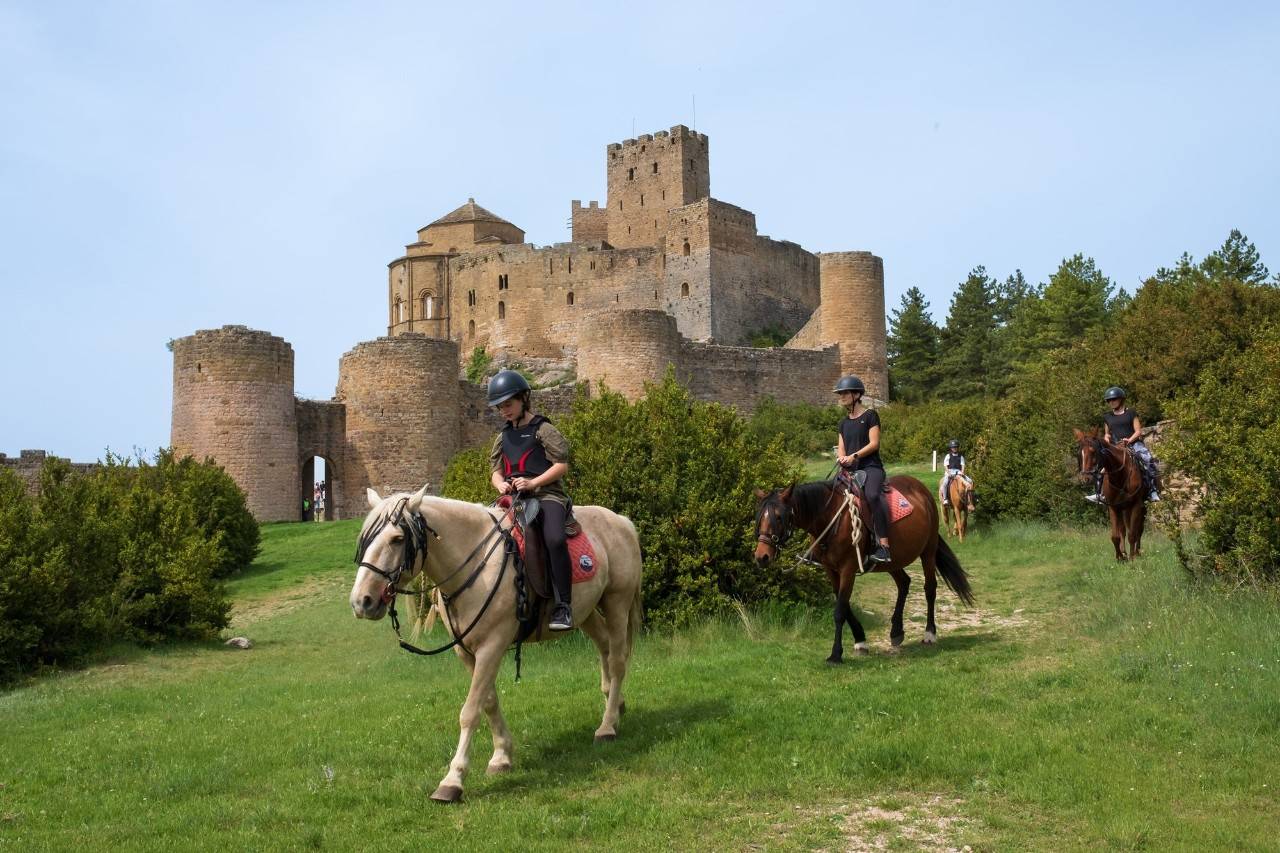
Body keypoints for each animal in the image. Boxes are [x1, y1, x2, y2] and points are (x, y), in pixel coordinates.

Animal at [348, 481, 640, 799]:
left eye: (397, 539)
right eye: (365, 538)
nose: (362, 602)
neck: (476, 563)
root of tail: (622, 521)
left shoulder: (492, 646)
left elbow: (470, 711)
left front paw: (452, 780)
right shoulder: (466, 652)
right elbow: (487, 702)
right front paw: (501, 756)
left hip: (617, 602)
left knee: (618, 660)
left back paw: (607, 726)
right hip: (586, 612)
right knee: (604, 647)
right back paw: (616, 704)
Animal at [747, 473, 967, 660]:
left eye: (779, 517)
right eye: (759, 517)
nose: (761, 557)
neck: (832, 517)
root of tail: (922, 491)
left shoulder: (848, 569)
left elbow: (839, 611)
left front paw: (836, 654)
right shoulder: (831, 570)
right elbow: (844, 605)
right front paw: (860, 640)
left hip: (928, 551)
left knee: (929, 589)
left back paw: (929, 633)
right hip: (893, 560)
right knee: (904, 583)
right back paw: (896, 631)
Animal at [1075, 425, 1146, 558]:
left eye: (1093, 451)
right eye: (1079, 453)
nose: (1085, 478)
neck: (1120, 475)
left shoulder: (1136, 504)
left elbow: (1133, 534)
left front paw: (1132, 557)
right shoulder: (1113, 507)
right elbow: (1115, 536)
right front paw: (1120, 557)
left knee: (1138, 529)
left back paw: (1137, 552)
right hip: (1123, 508)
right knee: (1124, 529)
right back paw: (1124, 552)